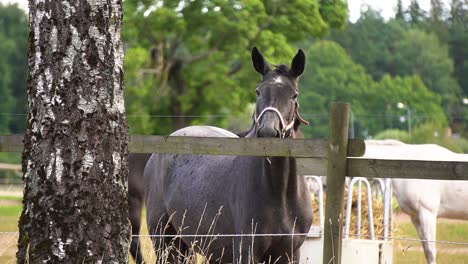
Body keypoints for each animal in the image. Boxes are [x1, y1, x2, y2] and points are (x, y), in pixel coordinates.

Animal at [143, 48, 310, 262]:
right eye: (258, 91)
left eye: (294, 95)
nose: (268, 132)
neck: (279, 194)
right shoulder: (246, 250)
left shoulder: (289, 253)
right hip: (165, 239)